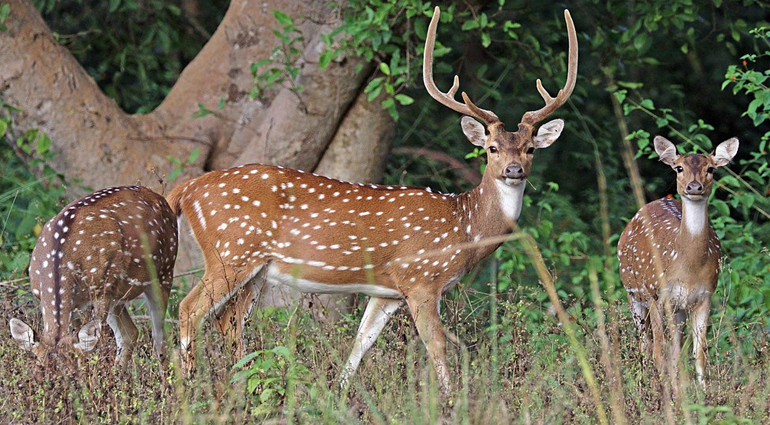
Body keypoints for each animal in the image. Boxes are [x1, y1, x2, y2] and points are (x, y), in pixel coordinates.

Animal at [9, 186, 178, 367]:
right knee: (130, 333)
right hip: (115, 293)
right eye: (40, 367)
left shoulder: (100, 291)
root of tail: (159, 197)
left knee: (160, 337)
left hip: (164, 270)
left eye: (73, 368)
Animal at [166, 6, 577, 395]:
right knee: (189, 309)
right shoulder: (421, 279)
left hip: (256, 269)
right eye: (491, 148)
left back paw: (241, 388)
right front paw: (450, 402)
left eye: (529, 149)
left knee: (228, 321)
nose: (513, 169)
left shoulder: (388, 292)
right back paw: (186, 391)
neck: (464, 226)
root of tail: (187, 189)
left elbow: (360, 344)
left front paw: (338, 396)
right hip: (231, 252)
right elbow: (437, 346)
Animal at [618, 136, 738, 387]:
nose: (694, 187)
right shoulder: (657, 293)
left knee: (672, 347)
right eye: (679, 168)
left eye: (710, 169)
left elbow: (698, 353)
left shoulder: (704, 296)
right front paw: (664, 392)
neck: (688, 269)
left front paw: (701, 393)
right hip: (635, 293)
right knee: (646, 343)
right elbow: (660, 349)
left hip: (678, 308)